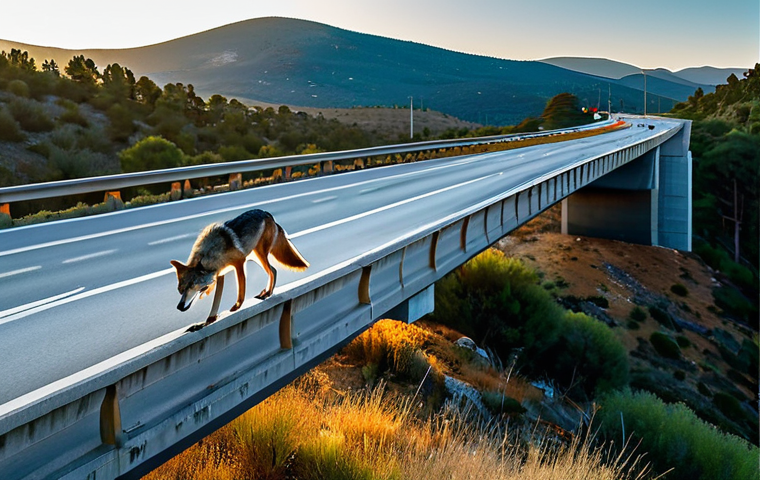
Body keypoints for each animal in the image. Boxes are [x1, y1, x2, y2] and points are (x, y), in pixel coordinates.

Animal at [170, 209, 309, 329]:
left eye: (192, 286)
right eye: (180, 290)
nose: (179, 306)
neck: (211, 253)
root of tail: (266, 213)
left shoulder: (239, 263)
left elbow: (241, 292)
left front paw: (236, 307)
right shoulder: (220, 274)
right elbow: (216, 300)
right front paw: (209, 320)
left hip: (259, 255)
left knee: (272, 271)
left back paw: (268, 293)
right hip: (255, 257)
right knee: (273, 270)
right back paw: (266, 292)